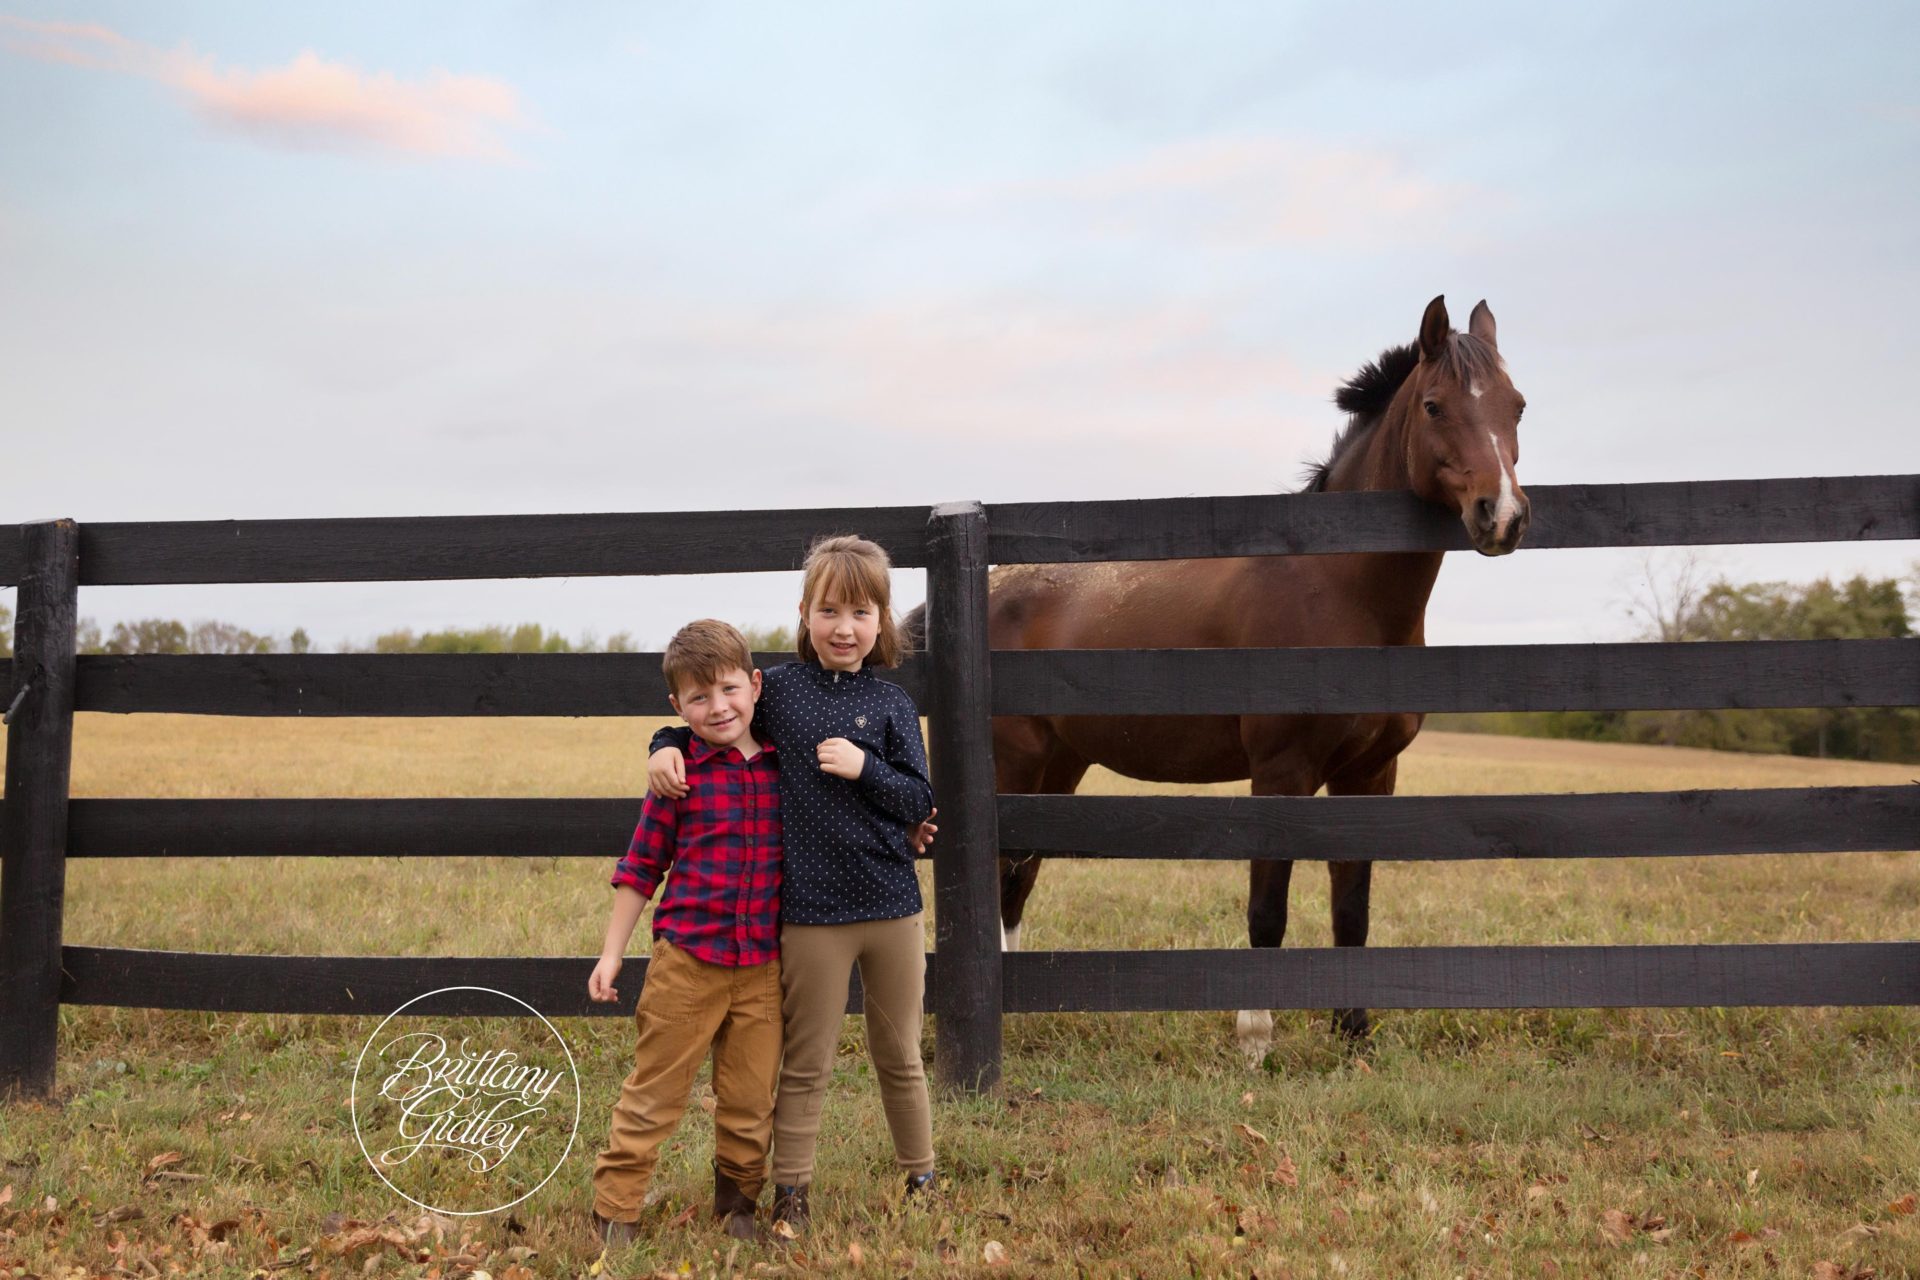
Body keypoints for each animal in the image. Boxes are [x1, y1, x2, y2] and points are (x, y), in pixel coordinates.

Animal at [911, 295, 1529, 1064]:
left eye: (1517, 405)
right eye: (1436, 405)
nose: (1502, 515)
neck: (1334, 586)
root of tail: (990, 587)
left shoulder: (1370, 775)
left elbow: (1351, 909)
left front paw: (1353, 1035)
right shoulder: (1282, 774)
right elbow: (1267, 912)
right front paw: (1255, 1040)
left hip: (1060, 767)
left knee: (1017, 879)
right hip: (1018, 764)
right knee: (1002, 876)